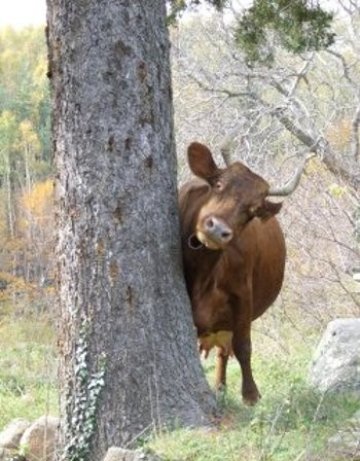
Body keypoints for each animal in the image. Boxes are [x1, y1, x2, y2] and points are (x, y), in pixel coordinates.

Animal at [179, 142, 308, 404]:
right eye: (218, 184)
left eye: (253, 210)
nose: (217, 228)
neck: (204, 272)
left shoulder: (242, 294)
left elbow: (243, 345)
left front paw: (250, 393)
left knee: (224, 351)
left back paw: (220, 387)